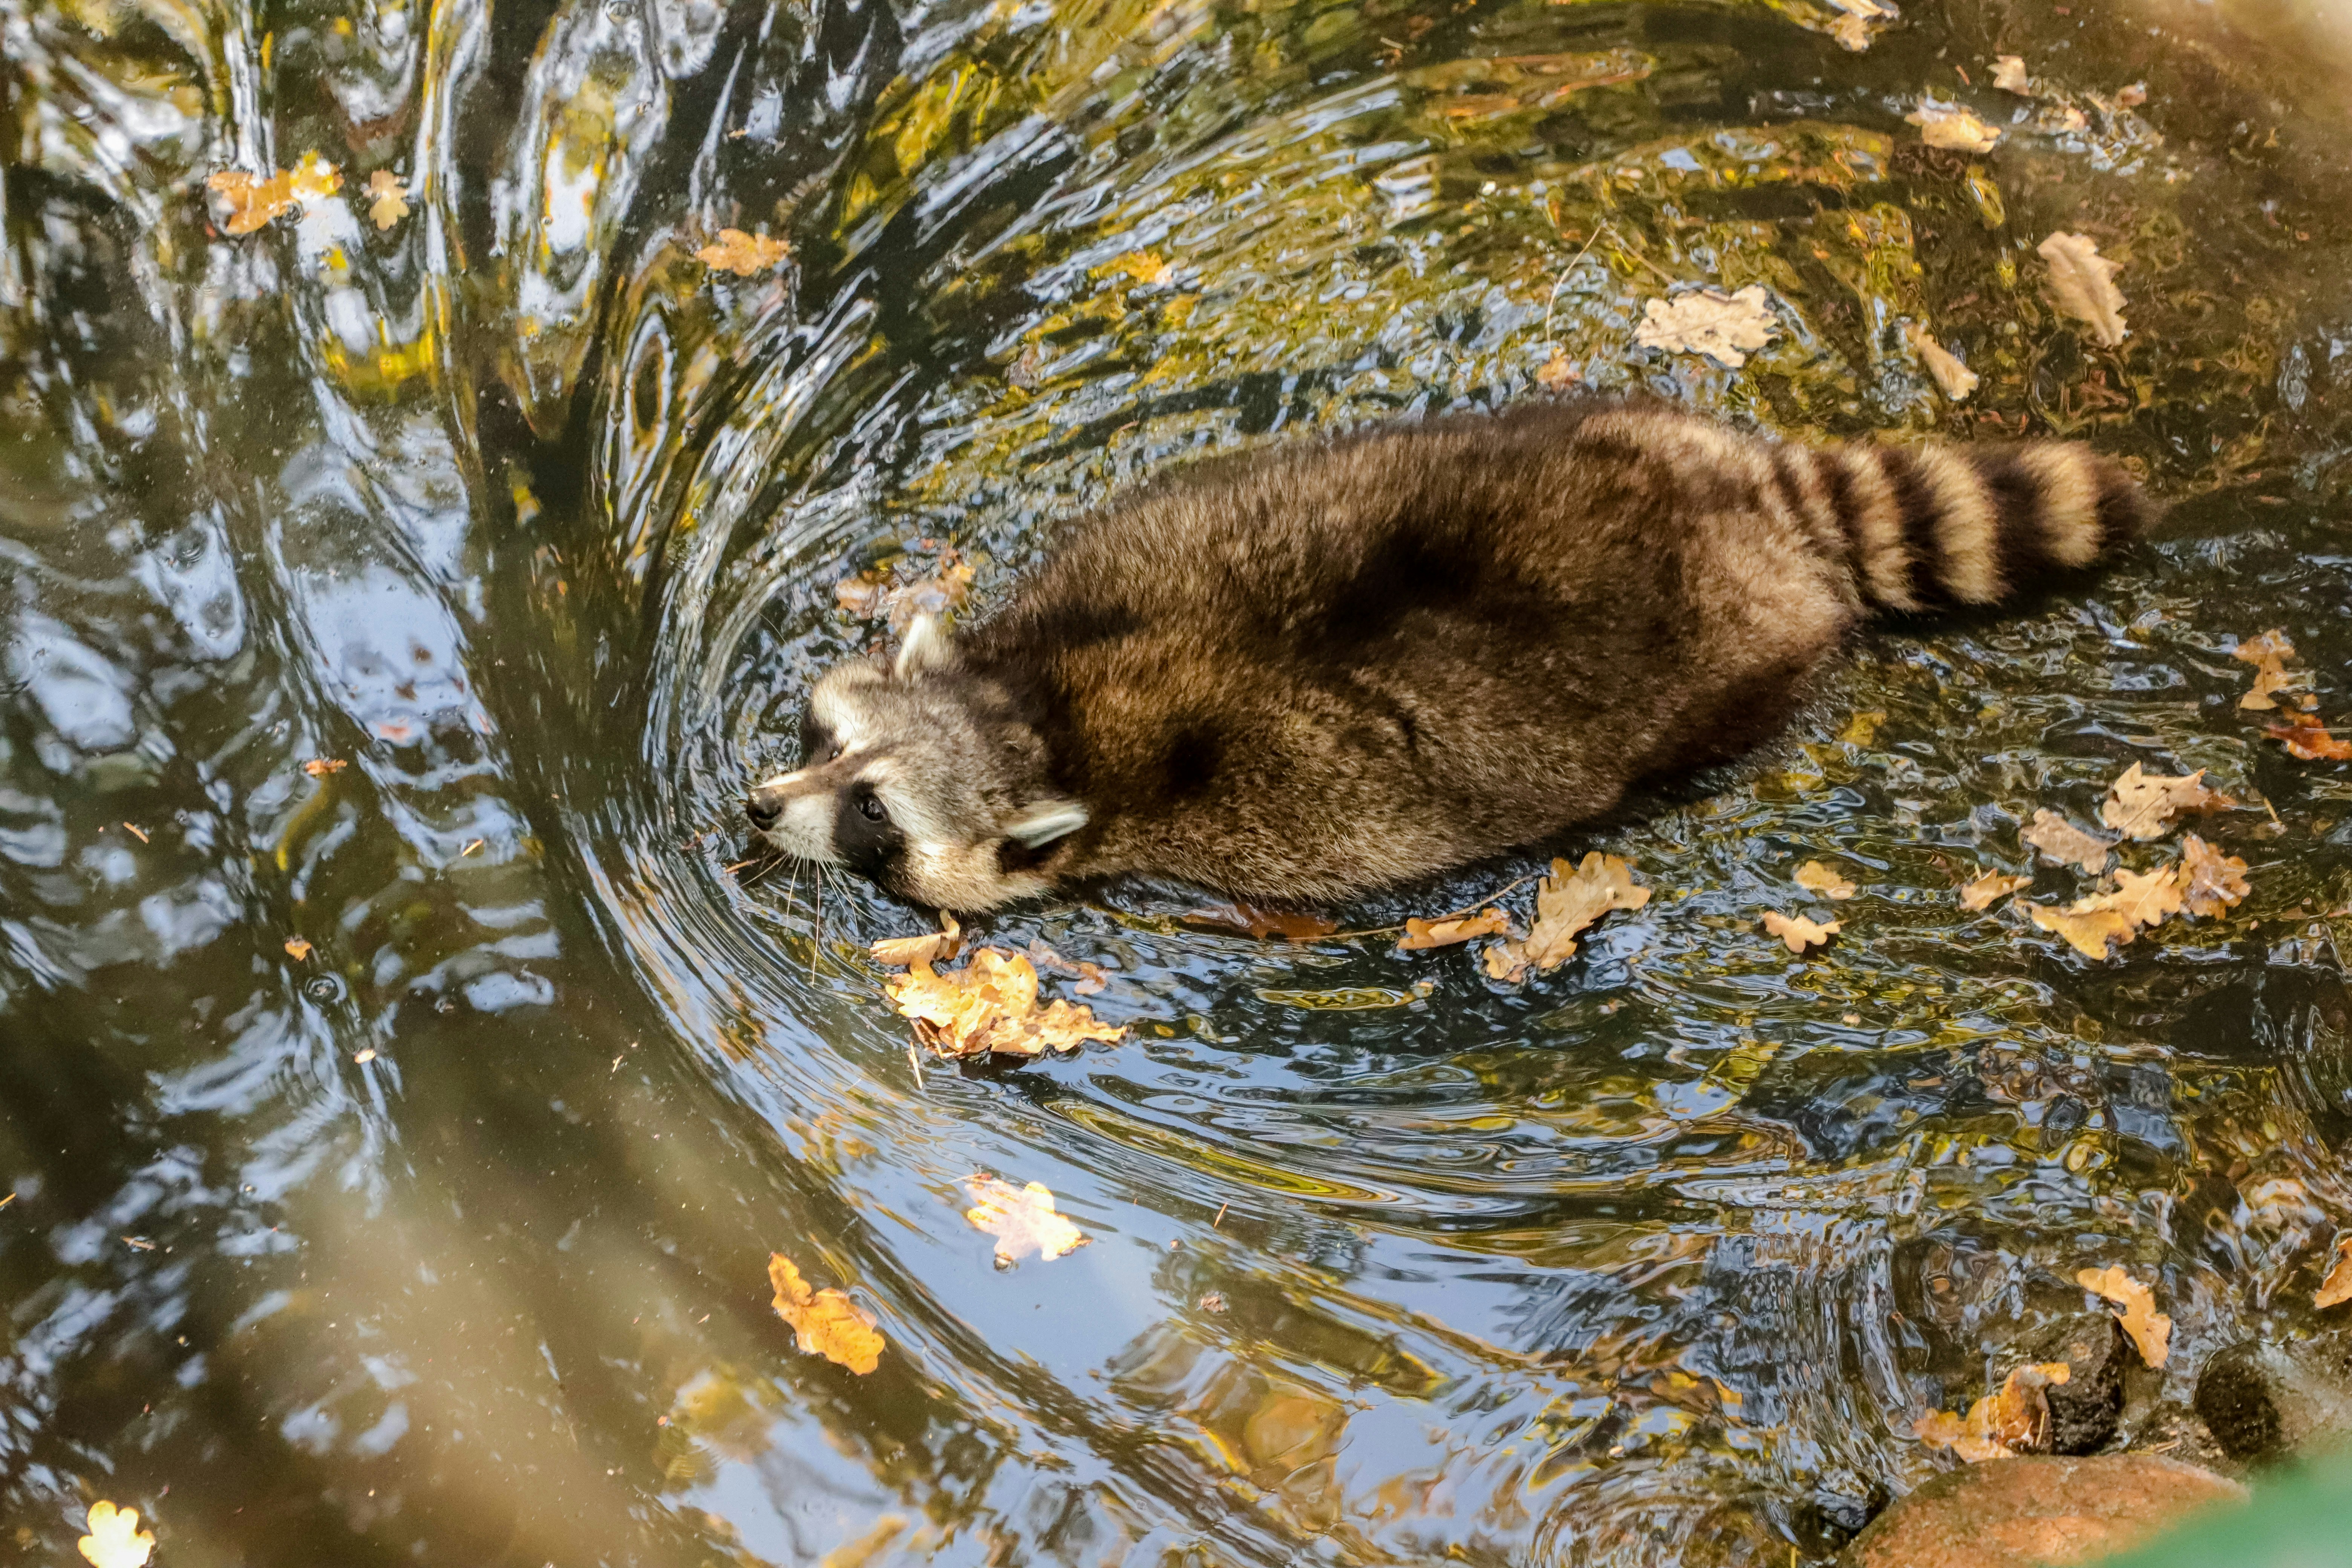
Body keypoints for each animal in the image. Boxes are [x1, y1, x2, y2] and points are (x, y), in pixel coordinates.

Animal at [746, 401, 2147, 912]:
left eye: (874, 814)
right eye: (826, 740)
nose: (762, 809)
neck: (1043, 709)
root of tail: (1749, 507)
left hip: (1732, 679)